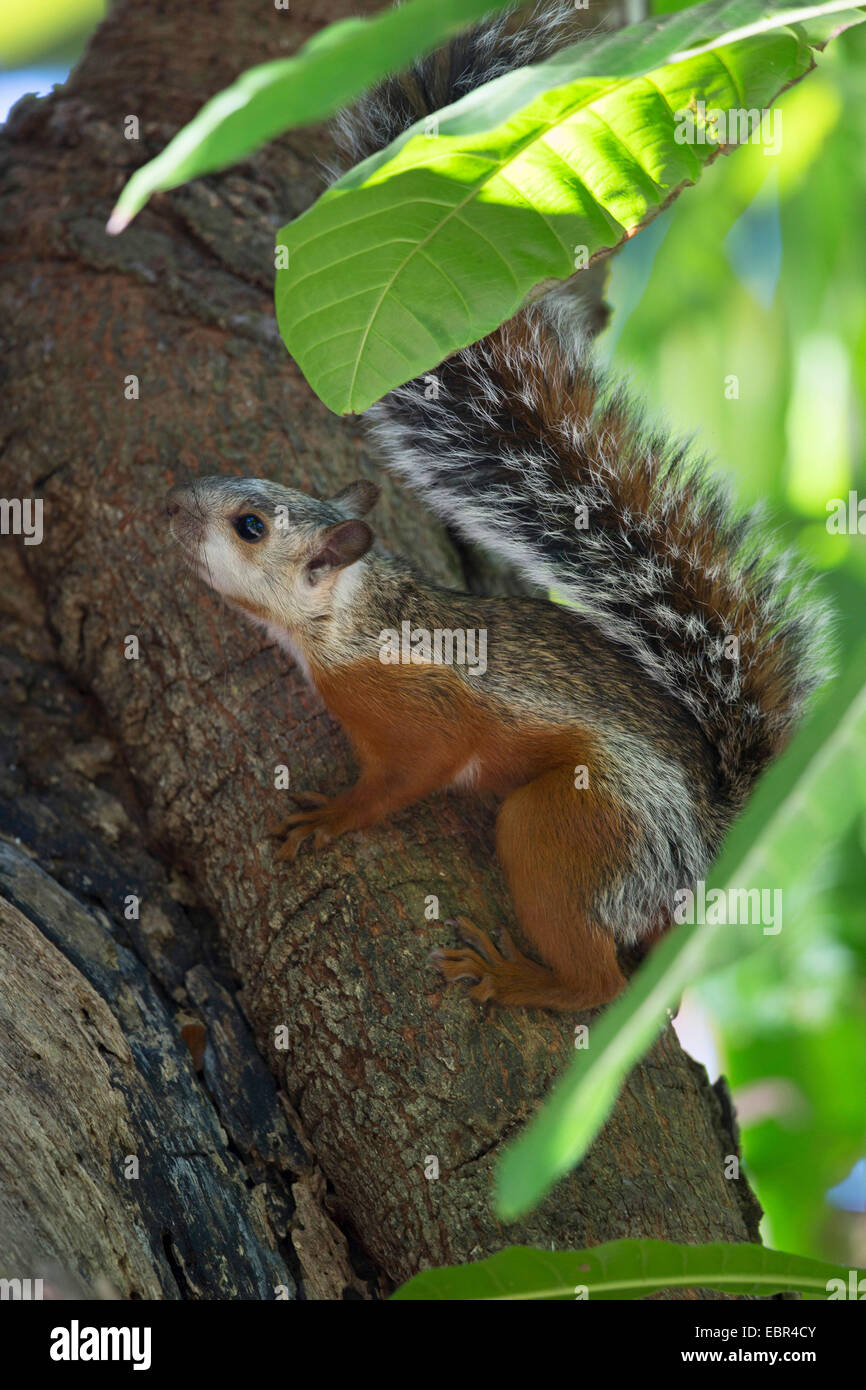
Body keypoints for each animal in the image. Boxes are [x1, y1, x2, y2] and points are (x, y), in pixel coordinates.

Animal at [164, 5, 834, 1017]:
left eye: (250, 525)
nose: (175, 503)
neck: (352, 621)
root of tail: (705, 847)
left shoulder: (419, 715)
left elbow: (405, 780)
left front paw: (330, 818)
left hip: (569, 823)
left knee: (596, 977)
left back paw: (515, 976)